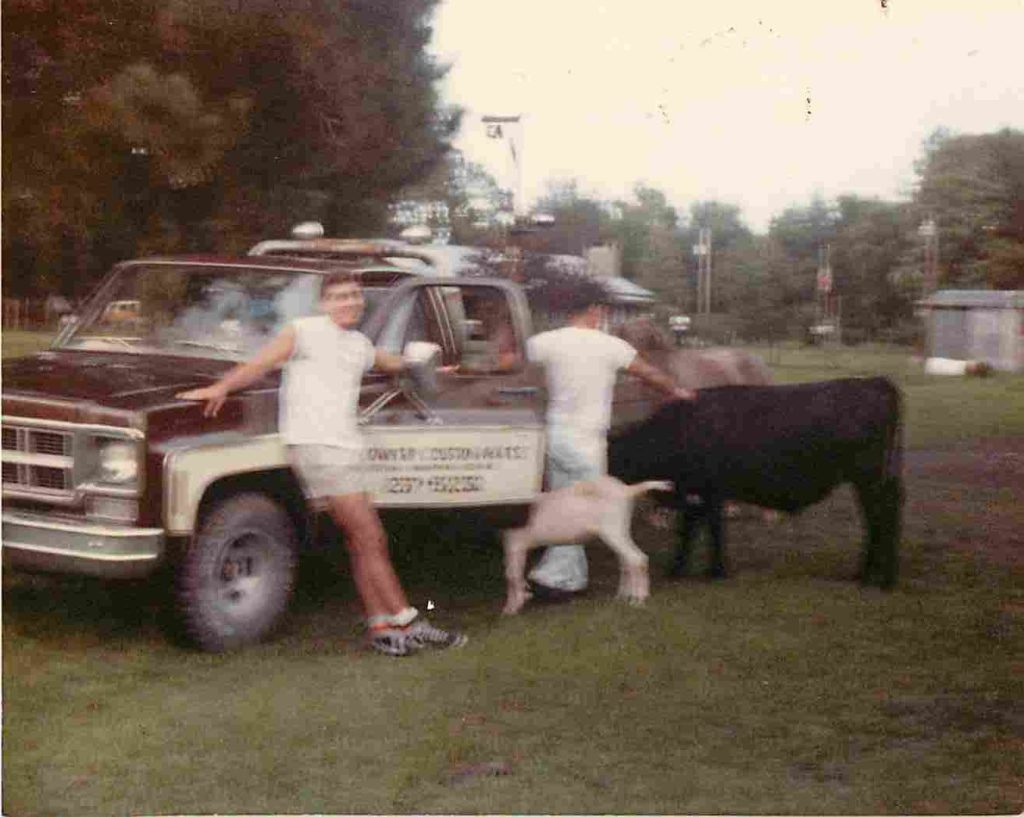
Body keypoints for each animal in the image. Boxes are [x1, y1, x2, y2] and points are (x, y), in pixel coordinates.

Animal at [501, 479, 675, 614]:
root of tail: (627, 490)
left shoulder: (516, 543)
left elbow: (511, 575)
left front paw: (511, 608)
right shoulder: (512, 544)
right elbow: (513, 573)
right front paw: (521, 598)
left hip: (613, 529)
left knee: (637, 558)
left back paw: (639, 599)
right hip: (620, 531)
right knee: (626, 561)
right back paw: (622, 596)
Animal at [606, 376, 905, 589]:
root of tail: (874, 382)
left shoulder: (707, 491)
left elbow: (706, 529)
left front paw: (708, 571)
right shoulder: (697, 492)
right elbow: (695, 529)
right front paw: (691, 569)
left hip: (870, 480)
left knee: (883, 519)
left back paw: (881, 580)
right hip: (870, 482)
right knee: (875, 521)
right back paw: (863, 575)